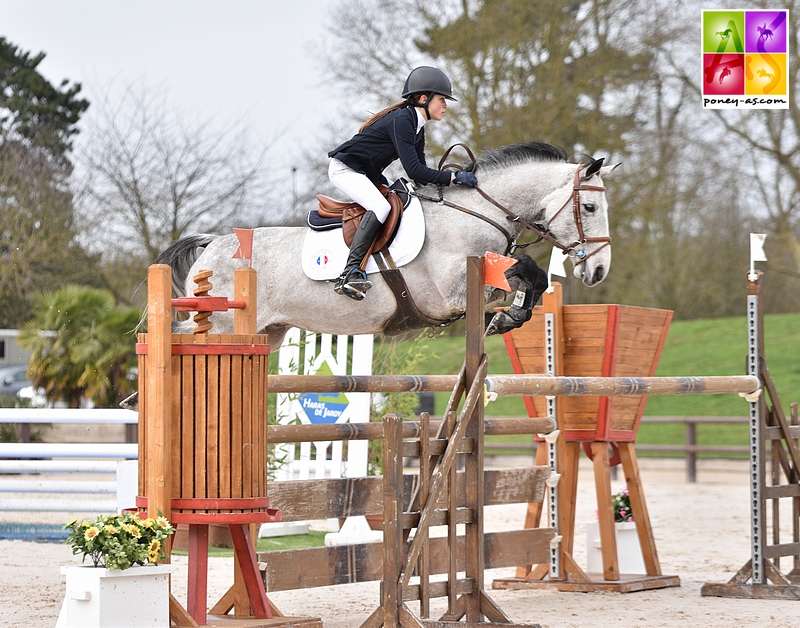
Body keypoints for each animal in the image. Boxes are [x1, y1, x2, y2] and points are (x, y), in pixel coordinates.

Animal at [158, 139, 620, 350]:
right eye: (591, 207)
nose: (598, 272)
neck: (471, 213)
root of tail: (212, 245)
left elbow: (532, 276)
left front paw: (509, 318)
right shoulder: (449, 294)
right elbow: (518, 271)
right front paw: (505, 317)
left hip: (267, 335)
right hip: (221, 325)